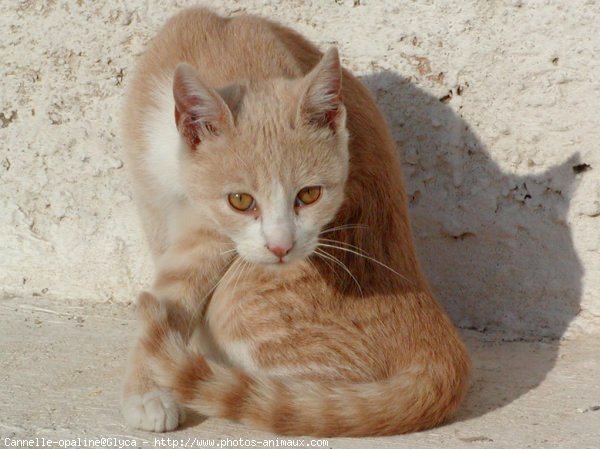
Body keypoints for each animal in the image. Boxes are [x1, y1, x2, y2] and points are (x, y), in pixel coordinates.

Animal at [119, 6, 472, 434]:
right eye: (241, 200)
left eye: (309, 195)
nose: (281, 247)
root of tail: (443, 348)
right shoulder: (155, 200)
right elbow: (167, 291)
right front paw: (150, 383)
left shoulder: (209, 234)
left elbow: (176, 292)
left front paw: (150, 382)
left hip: (244, 306)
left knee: (316, 404)